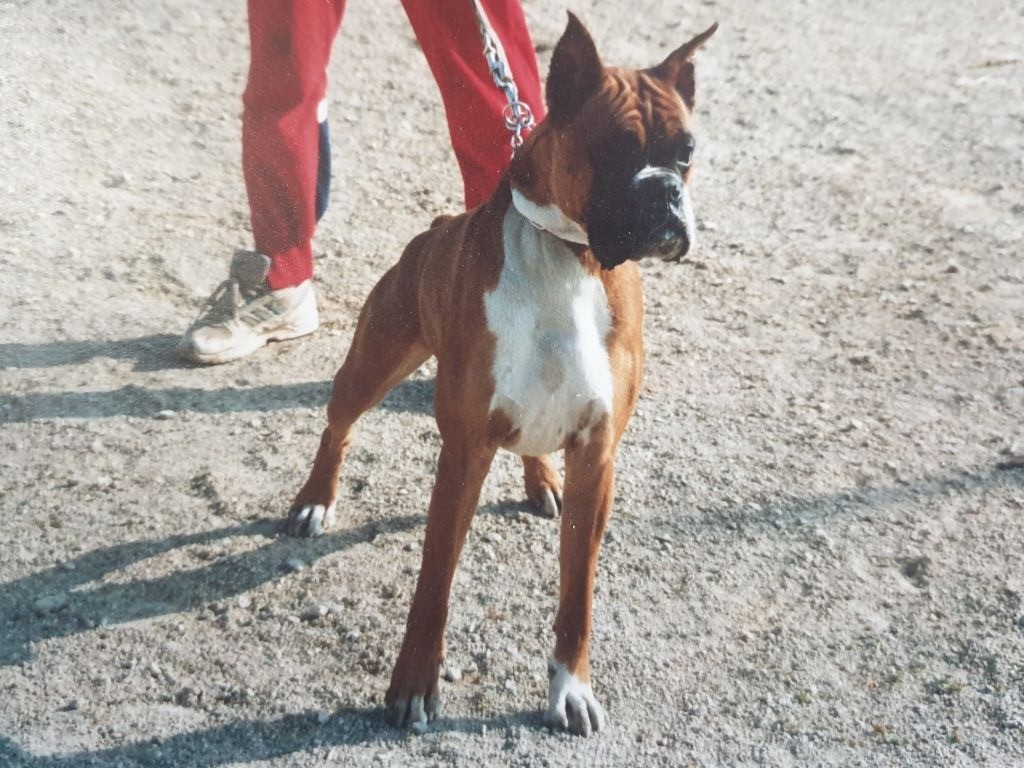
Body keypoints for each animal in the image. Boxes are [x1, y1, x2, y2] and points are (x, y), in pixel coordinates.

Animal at [286, 15, 720, 737]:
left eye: (685, 152)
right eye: (615, 149)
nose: (665, 188)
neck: (572, 258)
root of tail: (435, 226)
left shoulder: (596, 456)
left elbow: (577, 595)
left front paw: (570, 688)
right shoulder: (464, 452)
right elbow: (434, 582)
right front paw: (413, 686)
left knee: (531, 446)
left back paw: (540, 481)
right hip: (373, 365)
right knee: (337, 429)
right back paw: (315, 499)